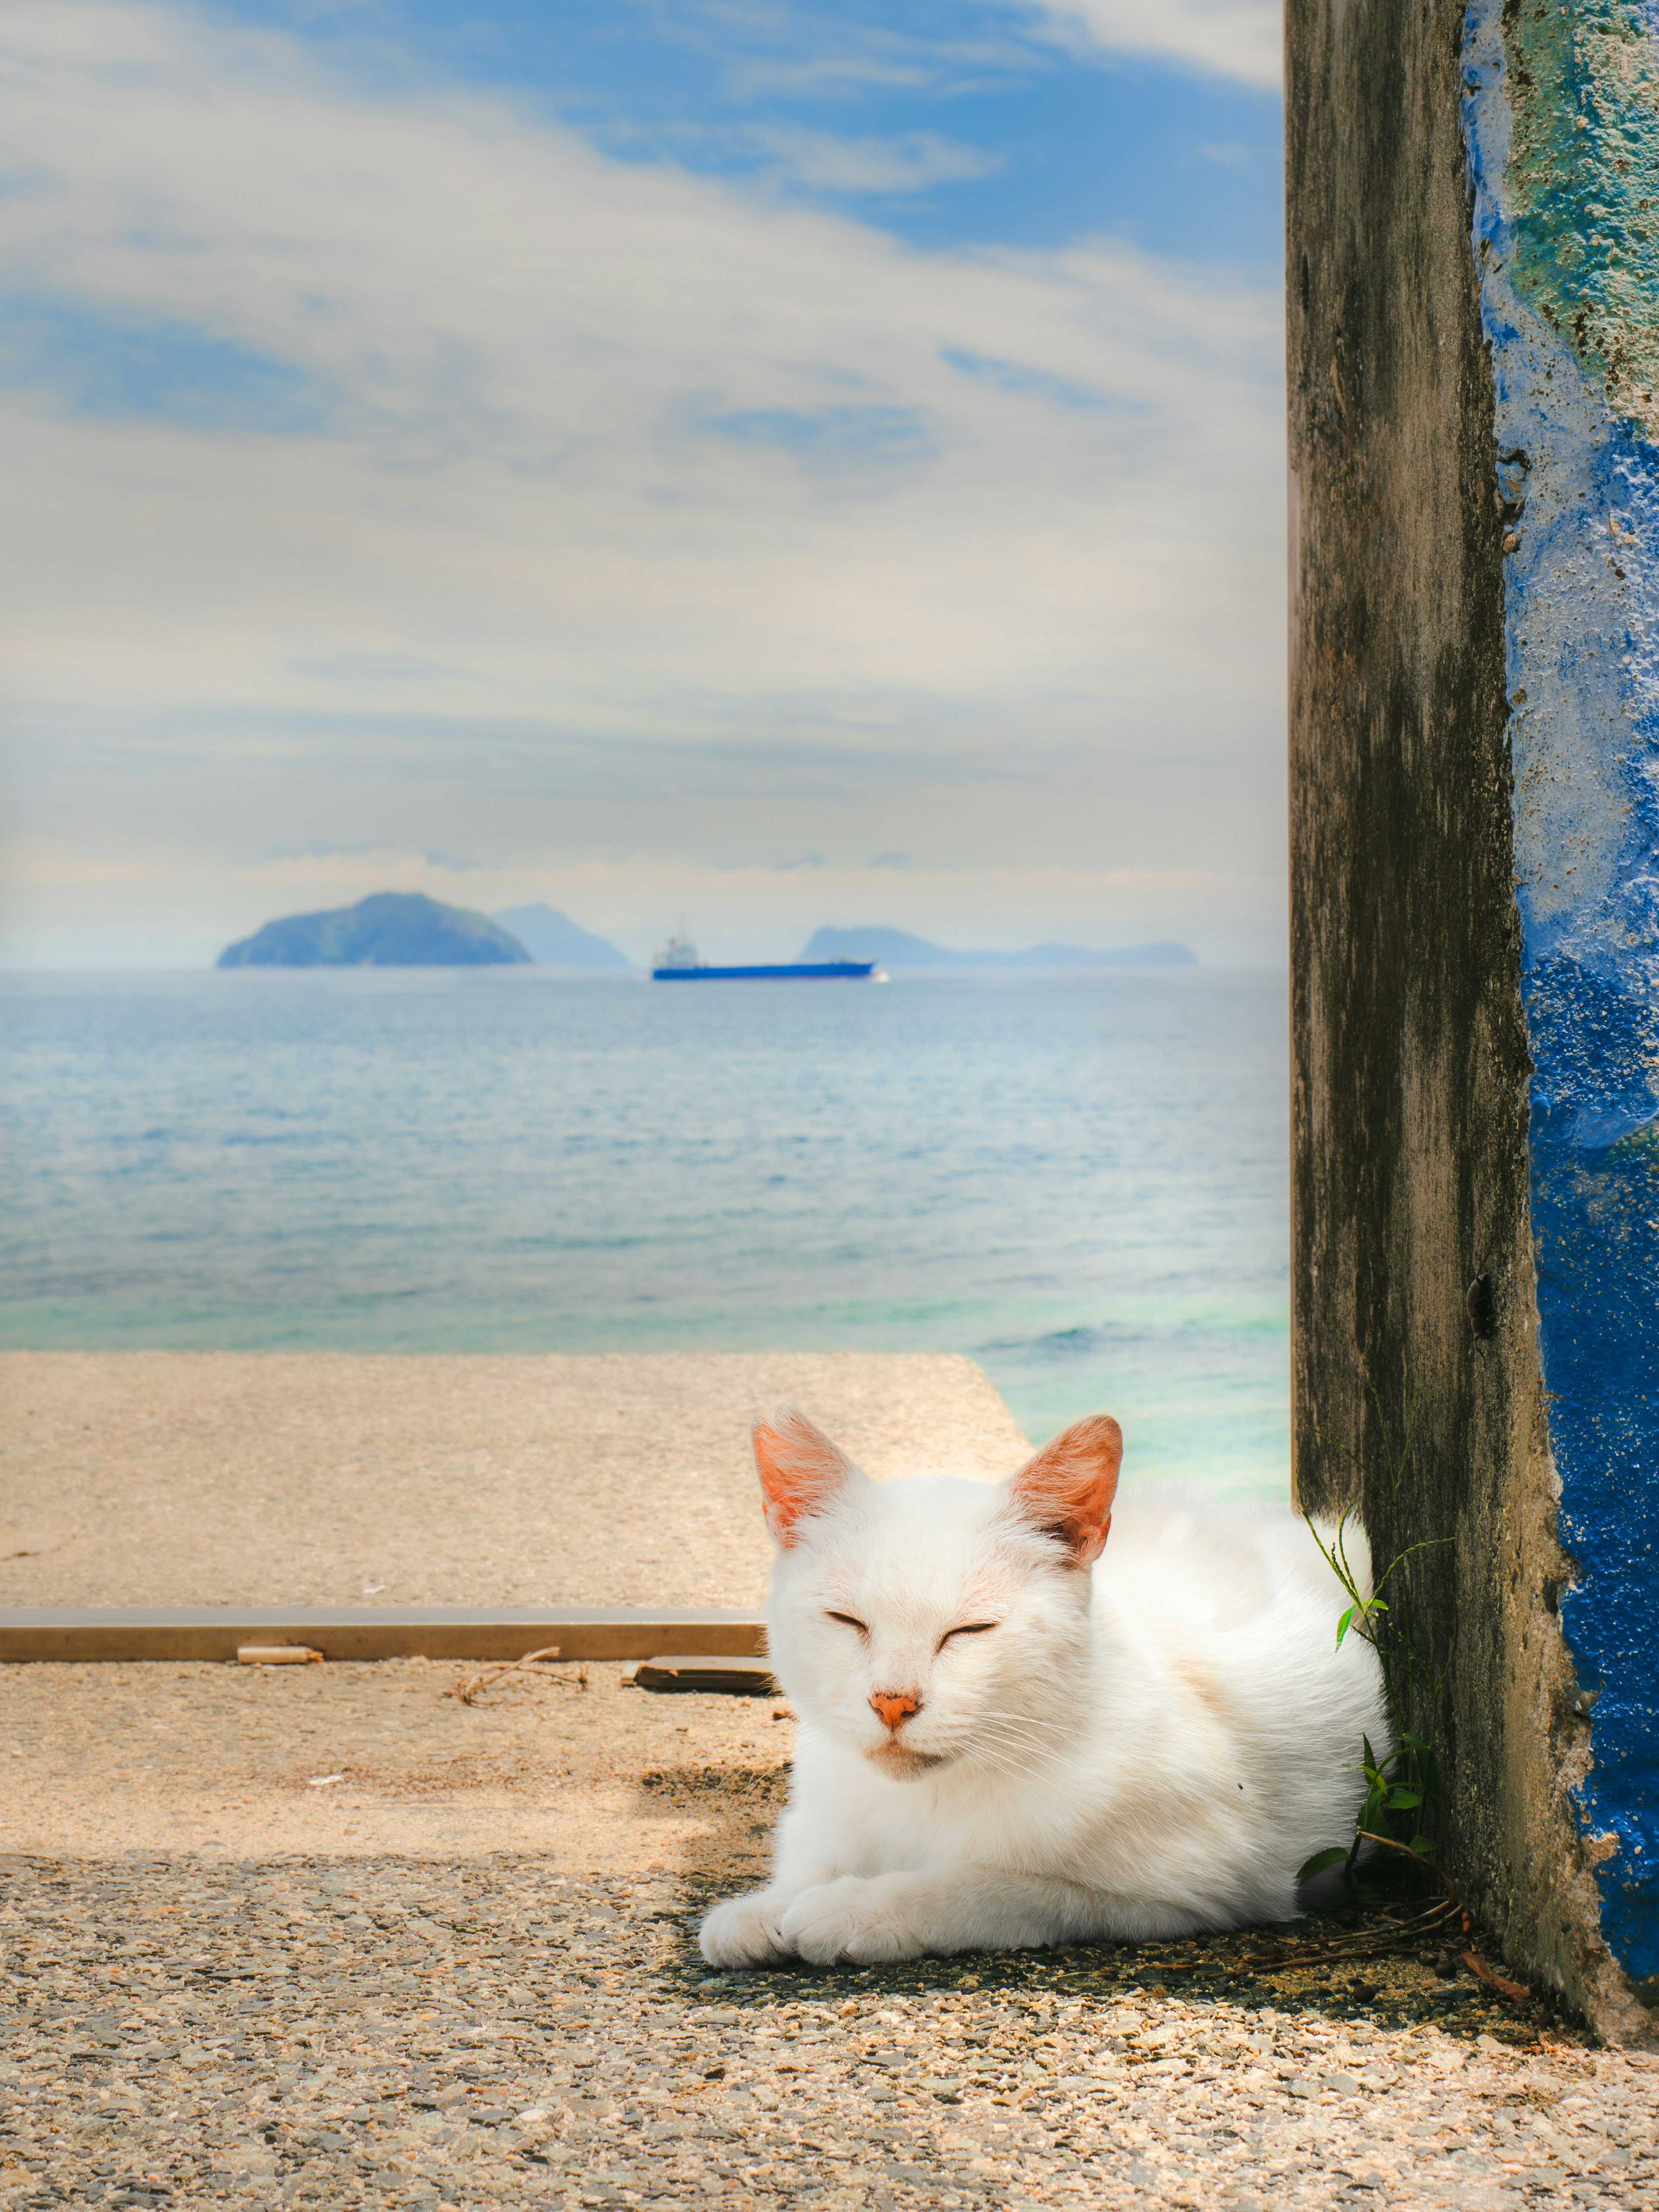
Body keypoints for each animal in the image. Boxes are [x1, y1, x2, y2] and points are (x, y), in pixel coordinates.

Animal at [703, 1407, 1389, 1964]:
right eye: (847, 1621)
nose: (892, 1702)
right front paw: (764, 1907)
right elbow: (811, 1858)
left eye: (971, 1630)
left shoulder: (1192, 1890)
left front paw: (854, 1909)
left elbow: (984, 1886)